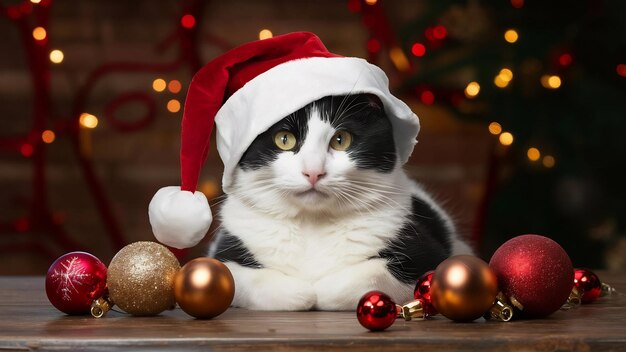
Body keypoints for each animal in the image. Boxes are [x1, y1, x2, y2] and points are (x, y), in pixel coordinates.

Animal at [207, 93, 470, 310]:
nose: (313, 172)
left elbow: (370, 274)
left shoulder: (426, 253)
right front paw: (300, 292)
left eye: (341, 139)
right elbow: (240, 276)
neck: (311, 224)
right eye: (284, 139)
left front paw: (319, 292)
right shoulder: (223, 250)